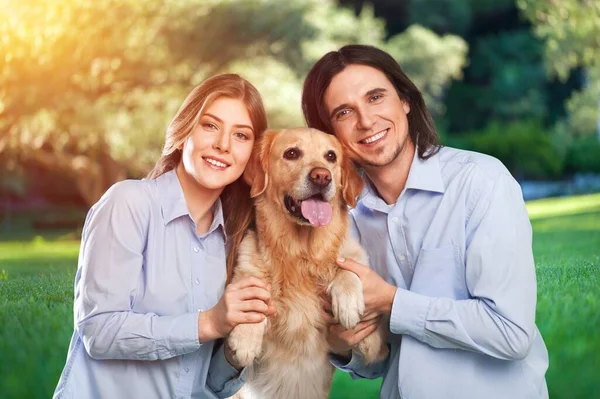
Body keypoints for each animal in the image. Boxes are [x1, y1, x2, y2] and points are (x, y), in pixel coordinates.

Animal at [226, 128, 390, 399]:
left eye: (331, 156)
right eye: (292, 153)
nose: (322, 176)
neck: (301, 256)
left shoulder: (375, 343)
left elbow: (347, 268)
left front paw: (348, 301)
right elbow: (252, 296)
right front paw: (245, 339)